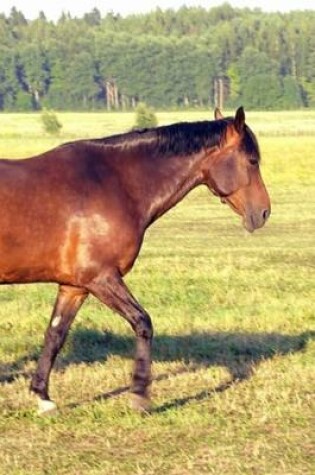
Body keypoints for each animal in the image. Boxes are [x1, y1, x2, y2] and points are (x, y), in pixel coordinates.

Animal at [0, 107, 272, 412]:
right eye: (252, 160)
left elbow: (55, 335)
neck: (114, 184)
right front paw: (140, 395)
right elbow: (143, 323)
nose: (263, 212)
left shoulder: (74, 287)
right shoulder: (102, 278)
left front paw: (42, 396)